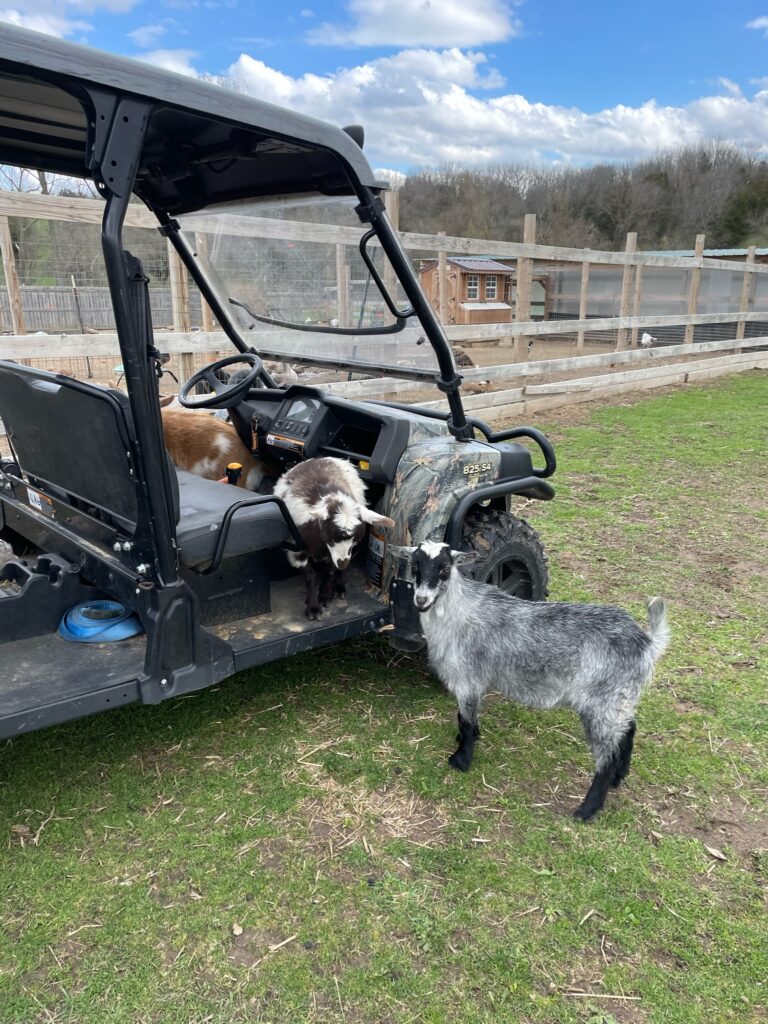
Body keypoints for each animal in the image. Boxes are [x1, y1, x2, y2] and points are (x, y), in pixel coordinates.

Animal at [274, 457, 394, 619]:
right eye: (330, 539)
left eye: (354, 540)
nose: (342, 562)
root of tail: (320, 458)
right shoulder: (297, 551)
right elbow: (310, 576)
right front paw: (313, 608)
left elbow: (330, 571)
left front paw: (325, 596)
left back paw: (339, 588)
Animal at [401, 542, 670, 821]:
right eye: (414, 565)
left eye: (444, 568)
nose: (421, 600)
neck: (457, 612)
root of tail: (647, 643)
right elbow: (466, 718)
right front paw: (470, 738)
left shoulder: (467, 679)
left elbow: (465, 720)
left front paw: (461, 759)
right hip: (621, 697)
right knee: (628, 729)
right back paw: (619, 777)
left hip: (602, 701)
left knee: (607, 755)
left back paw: (587, 809)